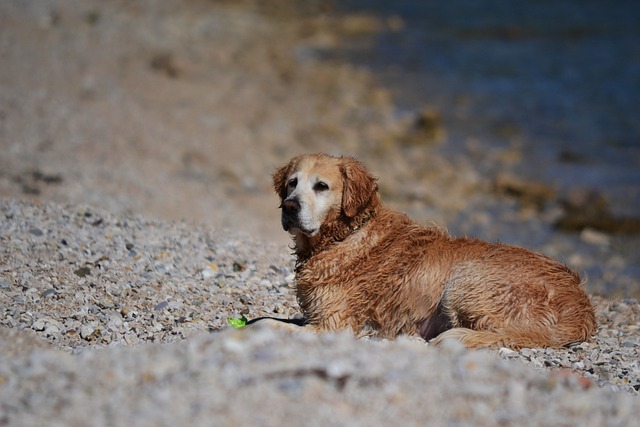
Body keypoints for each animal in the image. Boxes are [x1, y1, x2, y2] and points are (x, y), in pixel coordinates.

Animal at [270, 152, 596, 350]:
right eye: (292, 183)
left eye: (321, 186)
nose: (289, 206)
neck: (345, 235)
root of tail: (581, 308)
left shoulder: (334, 323)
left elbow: (270, 324)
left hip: (467, 279)